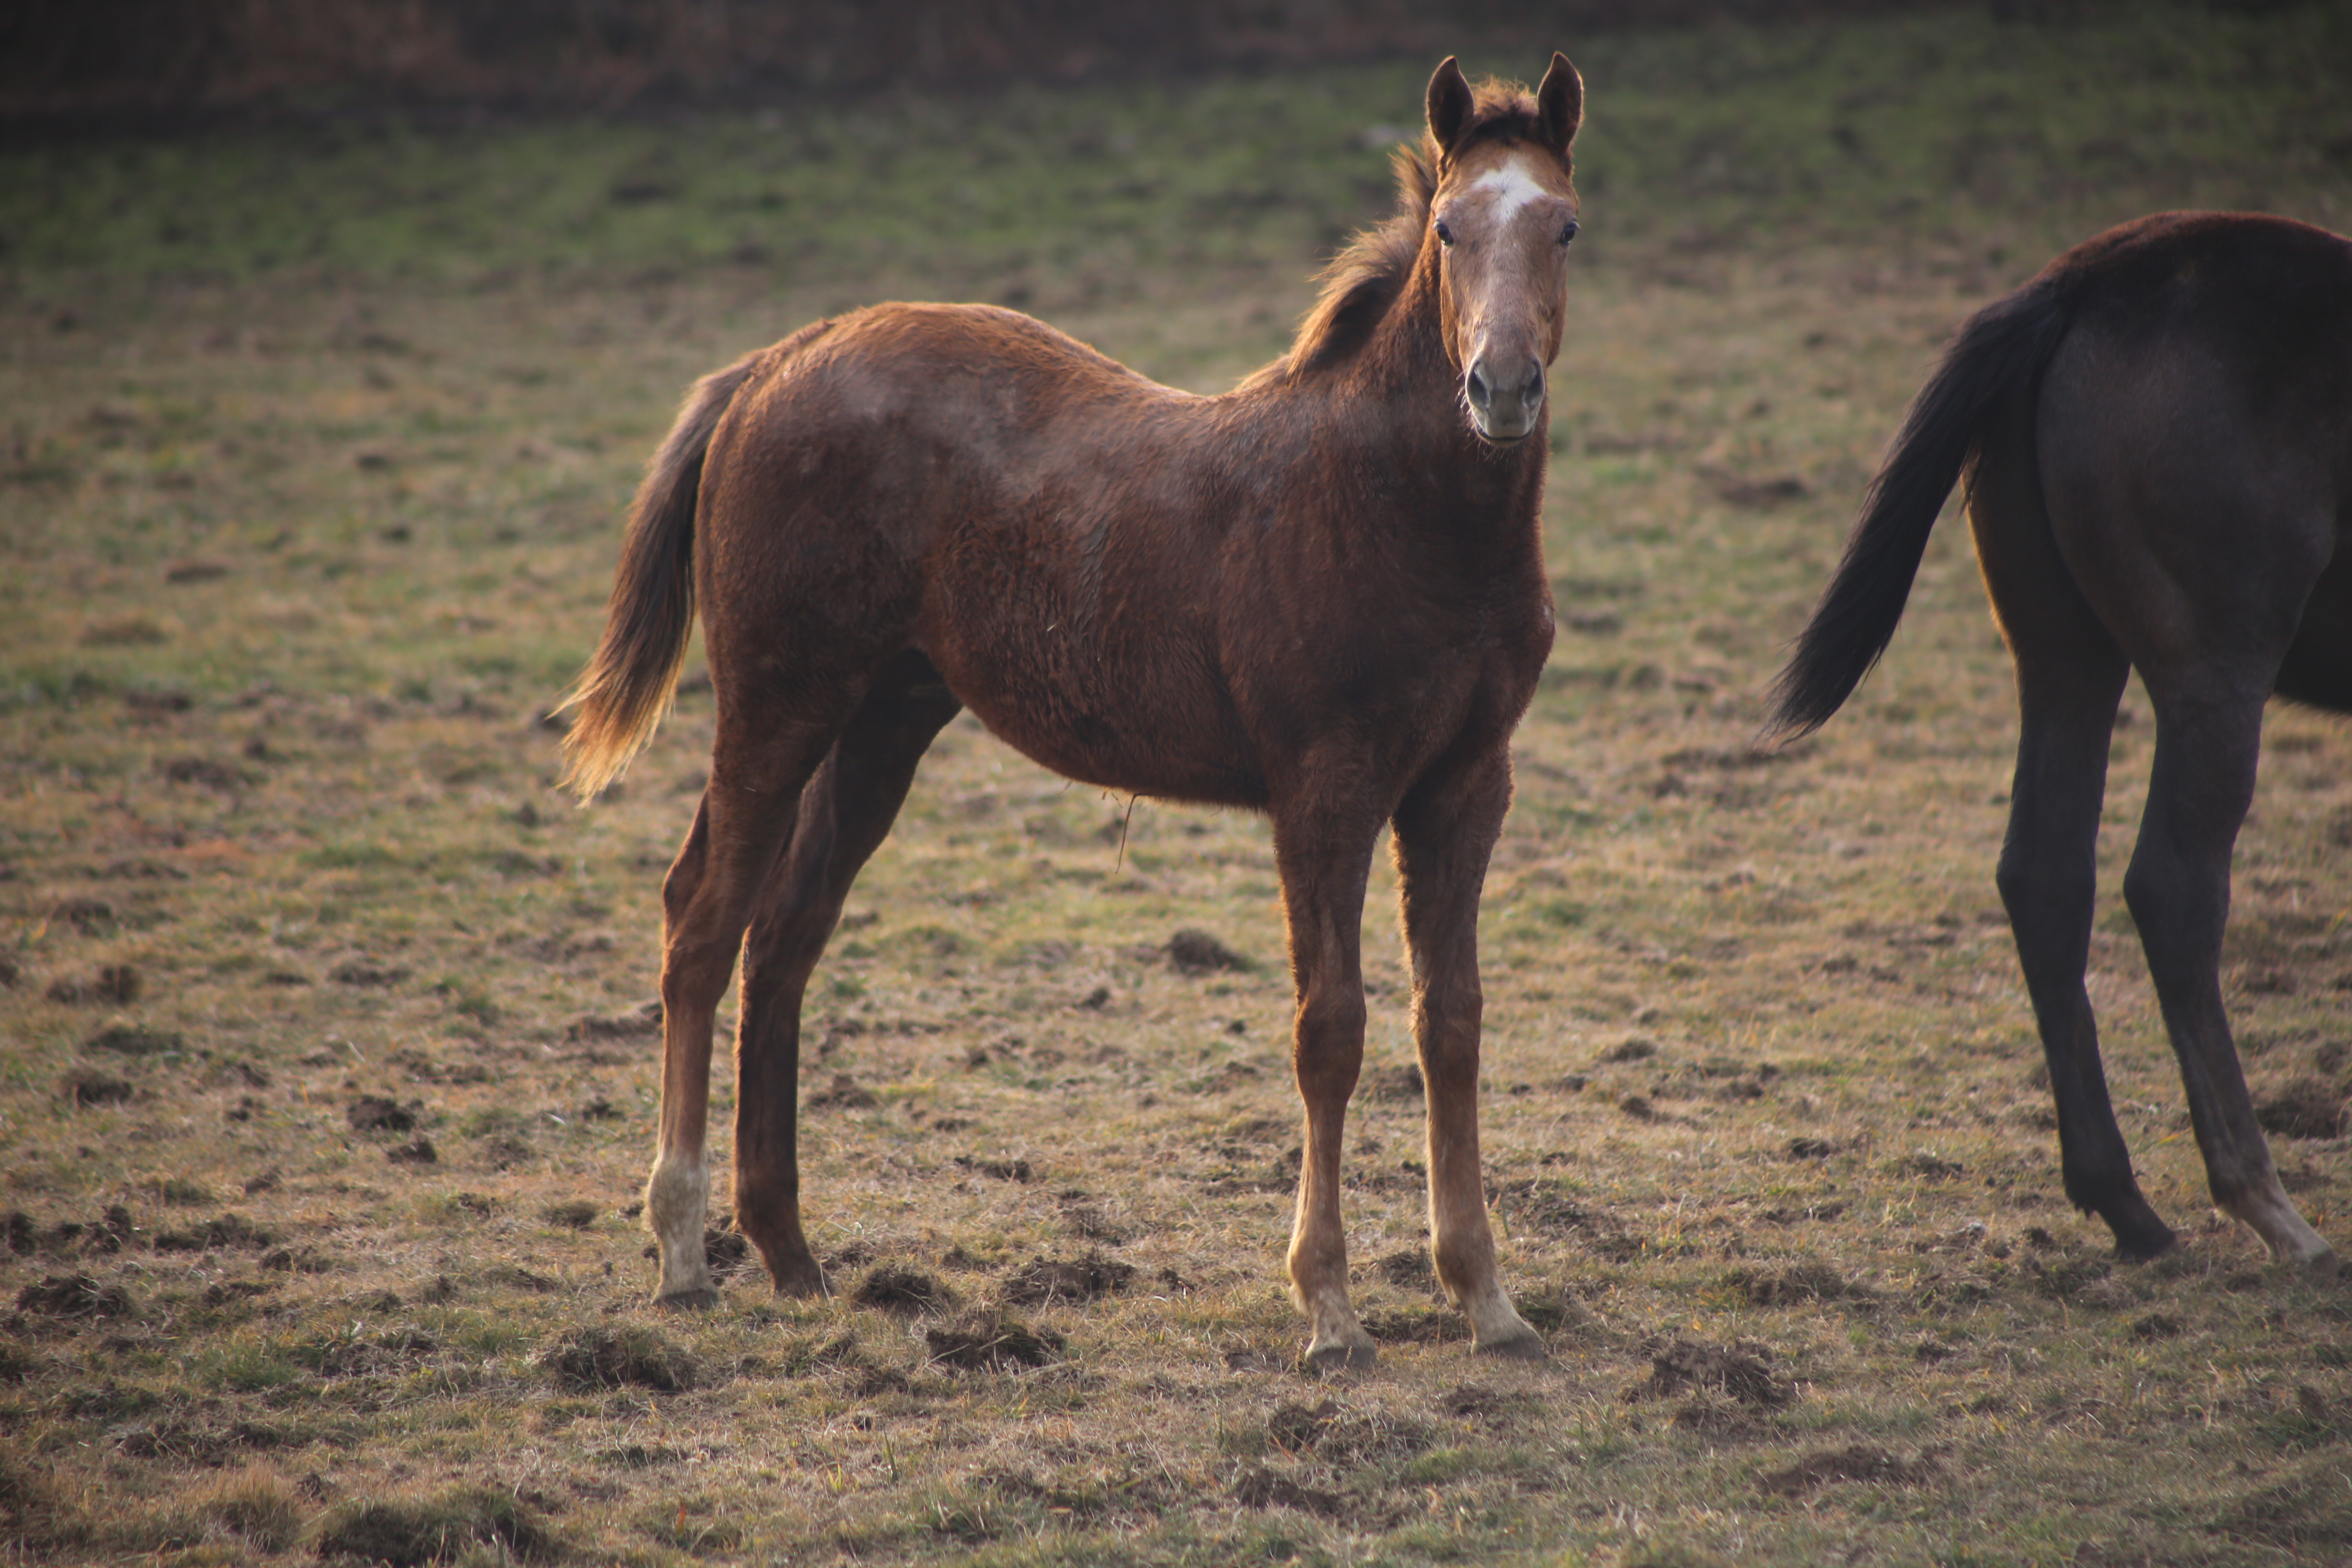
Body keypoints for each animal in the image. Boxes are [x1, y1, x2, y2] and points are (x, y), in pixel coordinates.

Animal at [555, 58, 1580, 1363]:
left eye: (1565, 226)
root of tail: (777, 361)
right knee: (701, 919)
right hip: (780, 702)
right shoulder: (1324, 786)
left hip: (882, 722)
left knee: (783, 937)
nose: (1500, 389)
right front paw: (1329, 1307)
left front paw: (1487, 1298)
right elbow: (1332, 1028)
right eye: (1448, 230)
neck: (1402, 512)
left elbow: (1450, 1021)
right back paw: (683, 1249)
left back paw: (788, 1251)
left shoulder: (1466, 782)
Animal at [1778, 208, 2352, 1269]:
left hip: (2062, 653)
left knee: (2045, 877)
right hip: (2213, 668)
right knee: (2173, 890)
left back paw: (2124, 1202)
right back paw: (2261, 1199)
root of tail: (2081, 282)